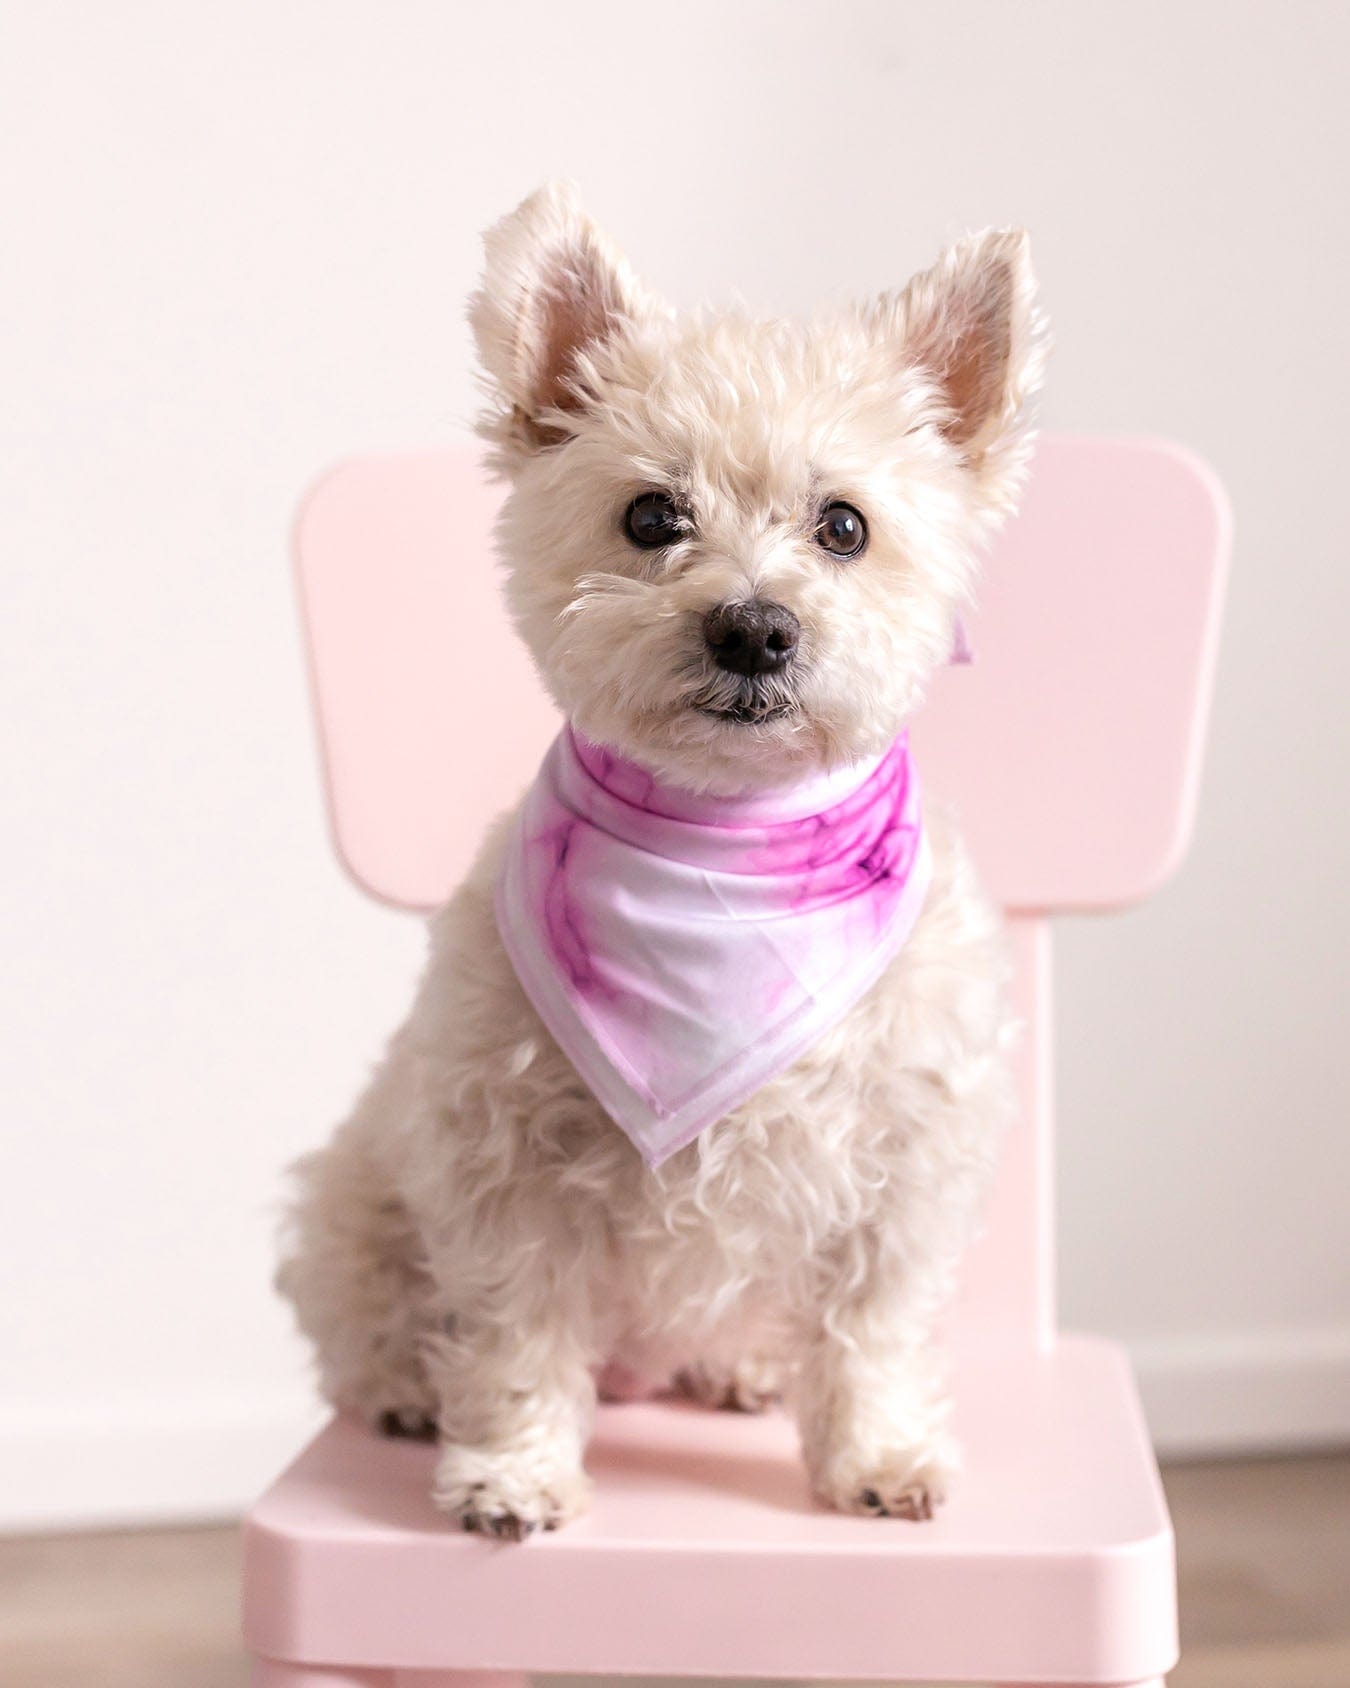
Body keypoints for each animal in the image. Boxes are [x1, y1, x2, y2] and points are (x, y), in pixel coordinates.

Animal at [280, 184, 1046, 1546]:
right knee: (371, 1313)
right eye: (649, 515)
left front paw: (878, 1453)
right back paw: (409, 1392)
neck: (724, 852)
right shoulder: (502, 1161)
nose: (752, 627)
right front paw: (513, 1469)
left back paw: (738, 1367)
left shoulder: (903, 1167)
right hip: (353, 1196)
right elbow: (517, 1329)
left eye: (843, 525)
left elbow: (874, 1328)